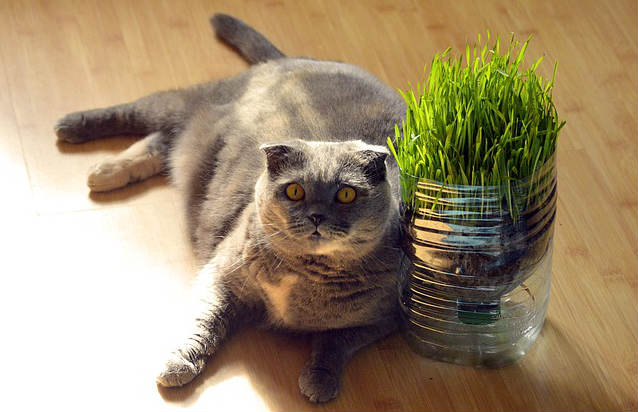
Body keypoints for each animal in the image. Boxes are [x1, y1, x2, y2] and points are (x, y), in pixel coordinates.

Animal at [55, 13, 408, 402]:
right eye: (295, 190)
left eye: (346, 195)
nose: (316, 216)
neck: (305, 275)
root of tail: (293, 59)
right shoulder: (222, 274)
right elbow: (202, 324)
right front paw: (177, 365)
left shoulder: (382, 319)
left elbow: (336, 341)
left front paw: (320, 380)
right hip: (190, 105)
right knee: (144, 112)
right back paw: (74, 131)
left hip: (196, 144)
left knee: (164, 143)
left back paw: (105, 172)